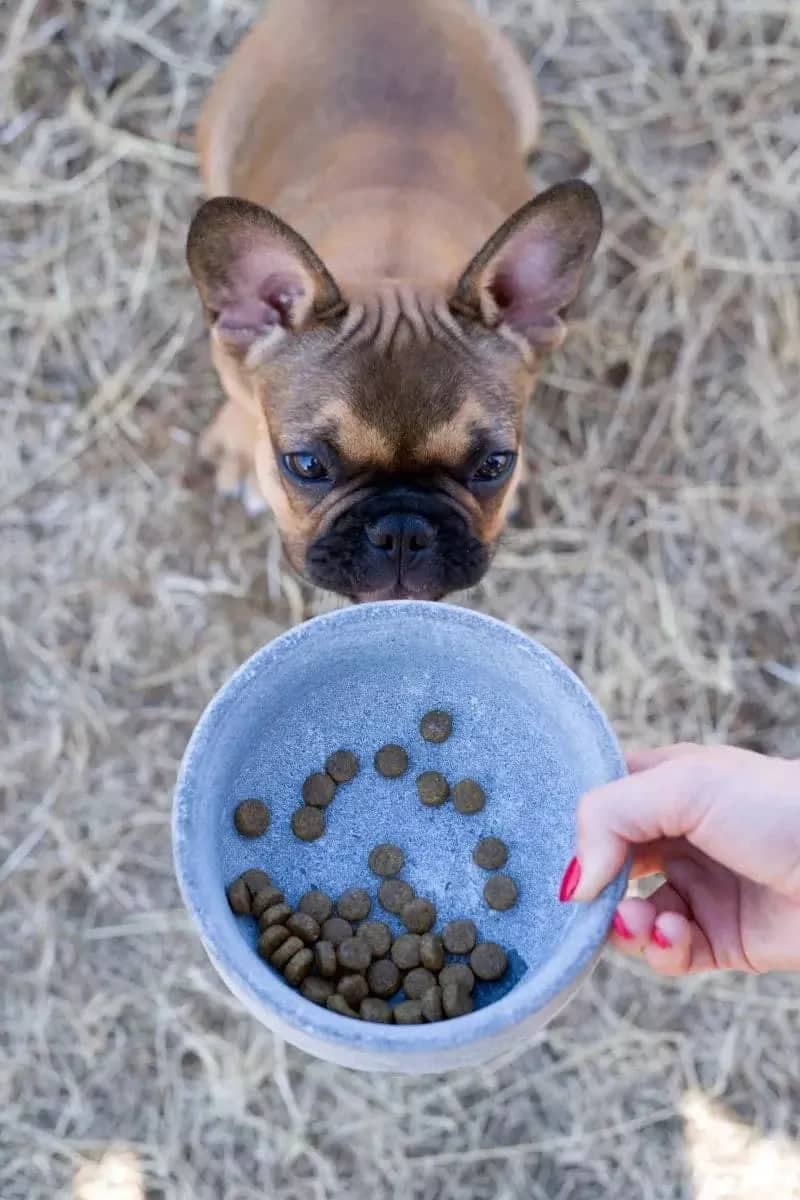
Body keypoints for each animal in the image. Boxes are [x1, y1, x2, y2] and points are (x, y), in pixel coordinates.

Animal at [188, 0, 599, 600]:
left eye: (495, 465)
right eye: (305, 465)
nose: (403, 529)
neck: (394, 260)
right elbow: (243, 398)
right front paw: (242, 445)